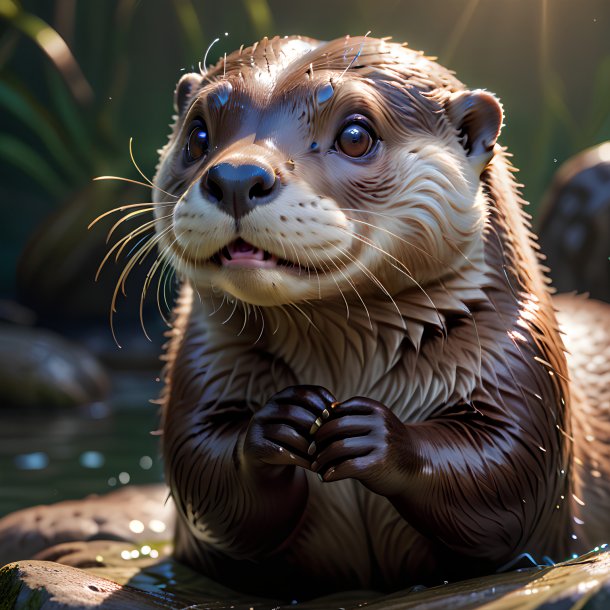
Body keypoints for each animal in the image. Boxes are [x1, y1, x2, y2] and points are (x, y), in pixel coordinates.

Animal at [151, 35, 608, 596]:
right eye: (198, 134)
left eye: (354, 135)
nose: (238, 176)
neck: (344, 361)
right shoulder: (199, 366)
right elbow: (201, 472)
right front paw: (276, 424)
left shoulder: (520, 359)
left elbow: (507, 477)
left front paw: (376, 435)